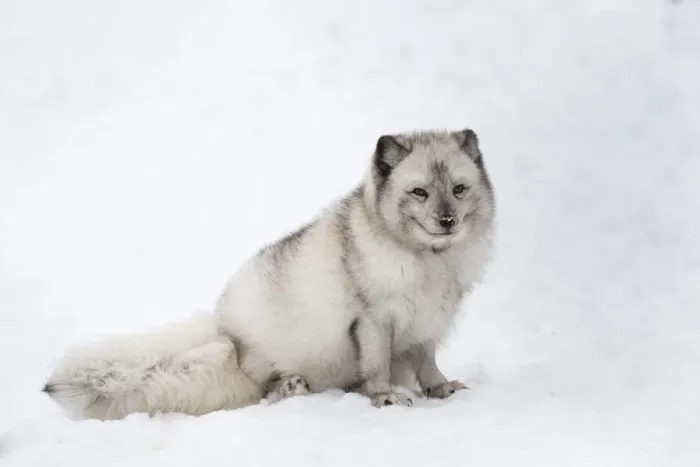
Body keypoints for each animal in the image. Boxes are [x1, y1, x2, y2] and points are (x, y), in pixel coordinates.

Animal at [42, 128, 496, 420]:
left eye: (458, 189)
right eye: (419, 192)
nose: (447, 221)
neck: (430, 262)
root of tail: (226, 332)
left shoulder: (428, 323)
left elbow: (427, 363)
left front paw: (440, 389)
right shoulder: (373, 320)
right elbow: (376, 368)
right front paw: (384, 398)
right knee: (264, 392)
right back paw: (291, 387)